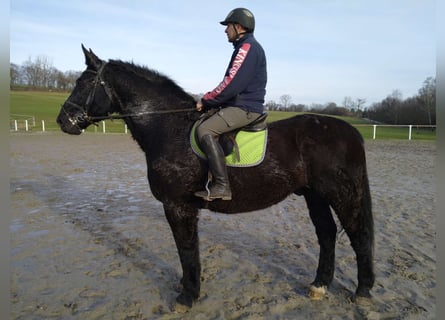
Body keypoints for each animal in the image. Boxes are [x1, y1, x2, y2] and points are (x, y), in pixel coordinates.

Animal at [56, 45, 374, 310]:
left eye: (83, 83)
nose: (63, 121)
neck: (169, 127)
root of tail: (349, 131)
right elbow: (187, 250)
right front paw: (187, 288)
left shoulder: (178, 206)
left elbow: (186, 250)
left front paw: (188, 296)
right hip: (315, 195)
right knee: (327, 234)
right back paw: (319, 285)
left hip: (341, 194)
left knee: (358, 234)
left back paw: (363, 291)